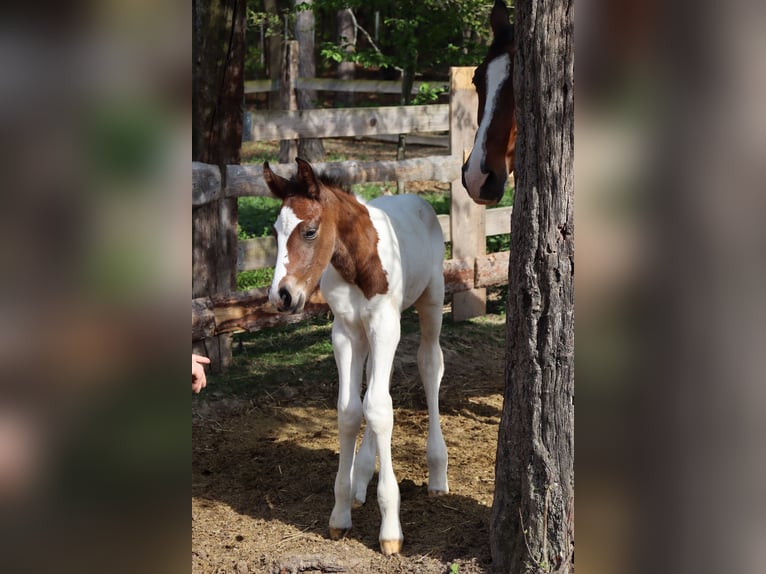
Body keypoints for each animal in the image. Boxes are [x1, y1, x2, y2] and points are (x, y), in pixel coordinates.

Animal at [264, 159, 450, 560]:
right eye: (274, 232)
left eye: (310, 230)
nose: (281, 296)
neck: (357, 262)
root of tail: (418, 199)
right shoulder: (346, 331)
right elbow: (351, 410)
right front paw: (340, 513)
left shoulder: (385, 323)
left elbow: (379, 409)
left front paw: (391, 530)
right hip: (369, 335)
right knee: (374, 384)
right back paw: (361, 478)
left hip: (431, 299)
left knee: (430, 365)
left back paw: (437, 474)